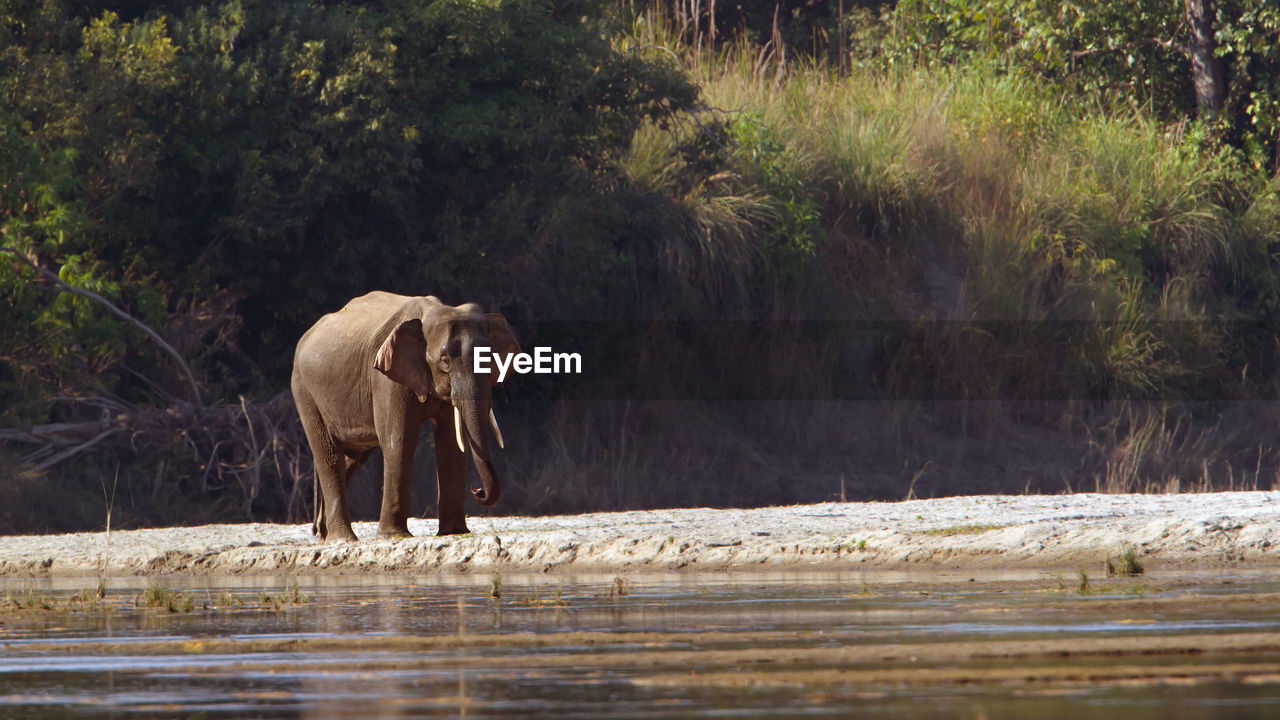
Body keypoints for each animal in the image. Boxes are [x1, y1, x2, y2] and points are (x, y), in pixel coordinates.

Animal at [291, 289, 519, 538]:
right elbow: (399, 440)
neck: (431, 313)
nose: (477, 490)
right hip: (305, 390)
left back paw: (324, 535)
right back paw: (343, 539)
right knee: (330, 455)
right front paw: (393, 536)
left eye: (490, 359)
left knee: (352, 457)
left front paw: (454, 533)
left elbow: (450, 443)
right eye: (445, 361)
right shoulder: (385, 378)